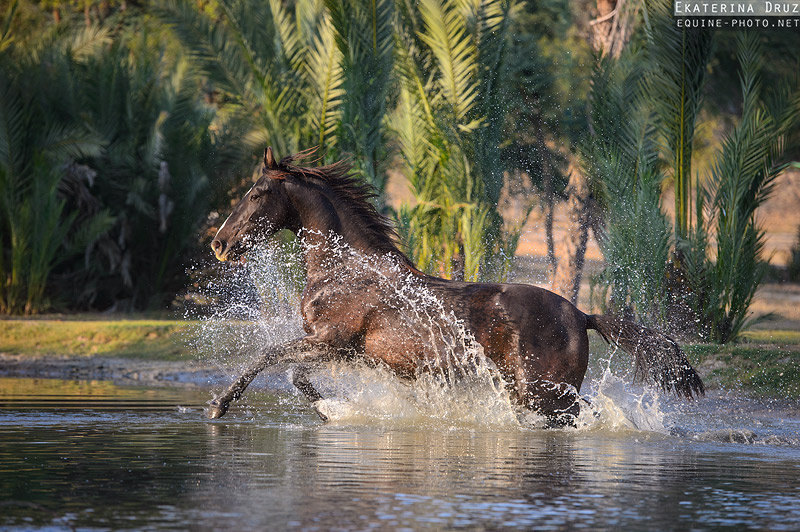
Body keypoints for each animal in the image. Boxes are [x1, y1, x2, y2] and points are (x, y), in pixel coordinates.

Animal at [205, 148, 700, 426]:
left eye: (255, 194)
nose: (219, 244)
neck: (345, 269)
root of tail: (581, 314)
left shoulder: (331, 340)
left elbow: (269, 357)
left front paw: (218, 406)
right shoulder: (343, 351)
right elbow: (295, 375)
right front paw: (331, 410)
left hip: (545, 394)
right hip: (538, 393)